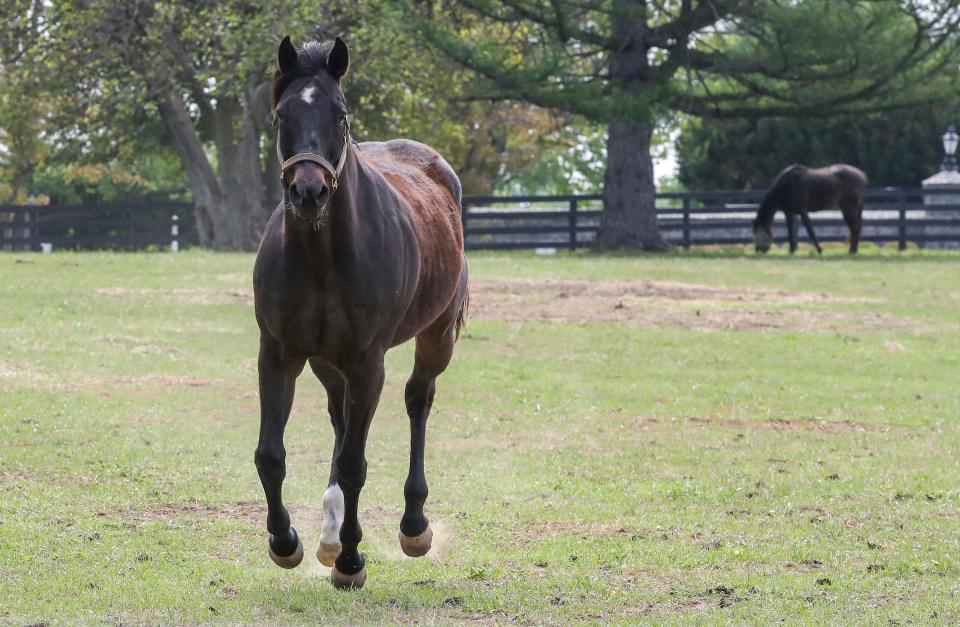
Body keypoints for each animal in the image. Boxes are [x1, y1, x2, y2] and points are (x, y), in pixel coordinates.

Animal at [251, 36, 468, 592]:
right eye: (282, 115)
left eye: (341, 116)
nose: (309, 192)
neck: (322, 255)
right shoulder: (279, 353)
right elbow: (271, 455)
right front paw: (286, 543)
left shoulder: (368, 362)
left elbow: (354, 464)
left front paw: (351, 561)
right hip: (327, 361)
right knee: (339, 416)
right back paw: (328, 534)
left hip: (436, 337)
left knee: (418, 400)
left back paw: (413, 526)